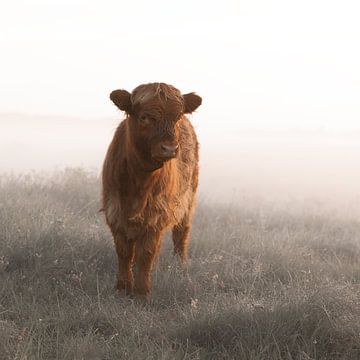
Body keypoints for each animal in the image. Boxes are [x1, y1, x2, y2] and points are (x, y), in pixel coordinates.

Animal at [102, 82, 202, 298]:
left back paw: (180, 266)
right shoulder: (114, 210)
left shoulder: (156, 213)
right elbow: (124, 251)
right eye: (145, 117)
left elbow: (145, 253)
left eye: (177, 117)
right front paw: (123, 287)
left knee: (181, 233)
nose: (170, 148)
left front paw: (142, 292)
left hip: (188, 199)